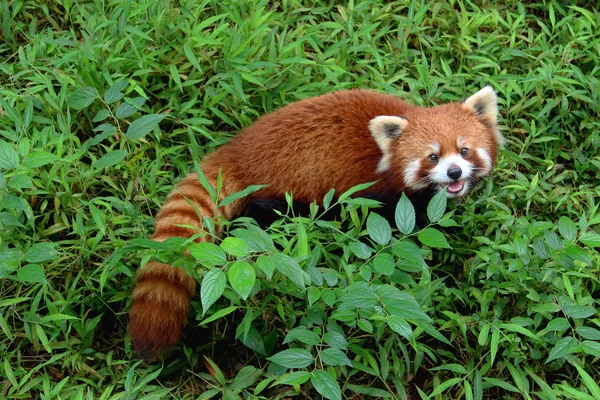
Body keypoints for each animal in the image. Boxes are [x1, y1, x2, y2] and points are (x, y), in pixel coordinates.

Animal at [130, 86, 502, 354]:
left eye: (464, 151)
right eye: (433, 157)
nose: (454, 172)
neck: (386, 156)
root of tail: (237, 150)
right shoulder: (382, 194)